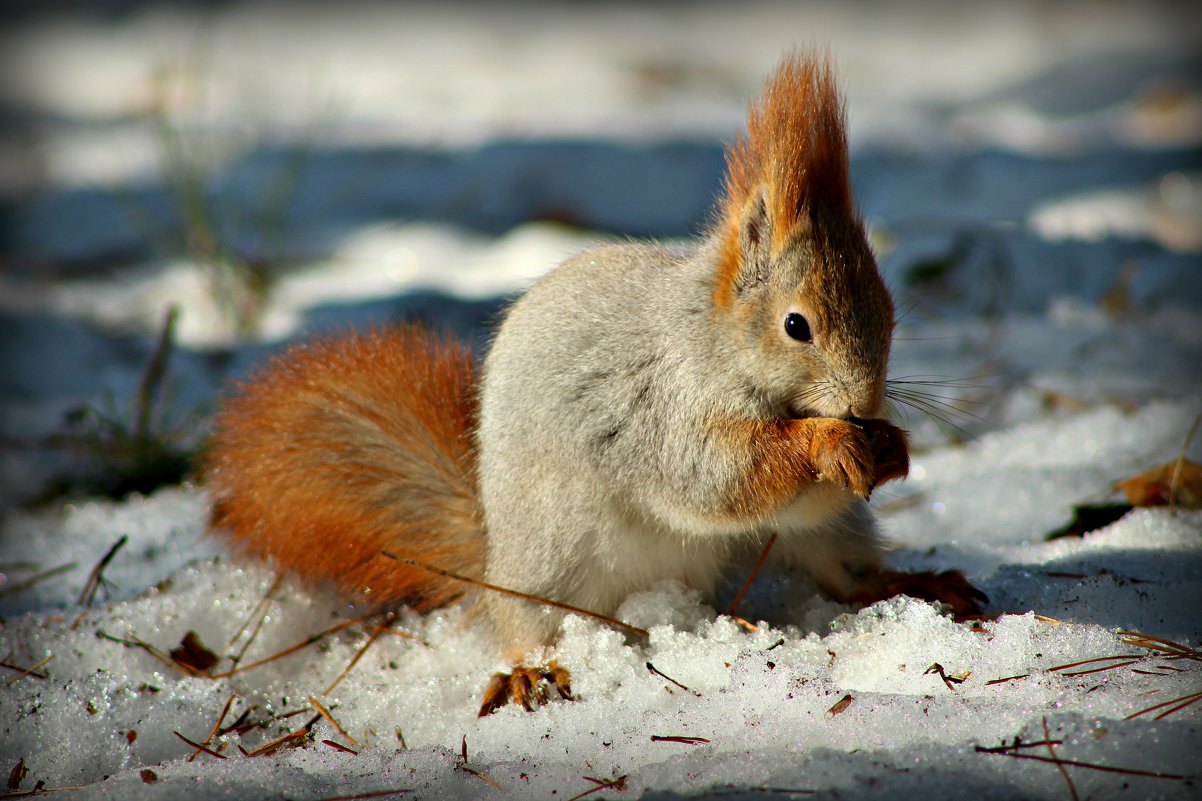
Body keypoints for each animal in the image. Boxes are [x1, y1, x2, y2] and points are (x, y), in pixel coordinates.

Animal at [201, 51, 980, 712]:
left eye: (889, 309)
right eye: (797, 326)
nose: (863, 403)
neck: (711, 341)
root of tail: (493, 546)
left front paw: (891, 446)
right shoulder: (662, 405)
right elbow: (718, 476)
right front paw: (827, 442)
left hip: (826, 538)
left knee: (843, 573)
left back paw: (915, 582)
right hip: (552, 553)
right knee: (525, 617)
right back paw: (528, 667)